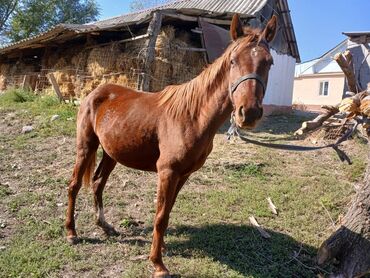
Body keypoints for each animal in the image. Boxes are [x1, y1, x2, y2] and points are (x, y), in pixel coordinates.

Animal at [66, 14, 276, 276]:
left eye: (269, 63)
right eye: (233, 61)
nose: (249, 113)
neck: (192, 116)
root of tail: (95, 92)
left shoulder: (183, 174)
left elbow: (167, 211)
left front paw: (162, 247)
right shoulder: (168, 172)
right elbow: (160, 216)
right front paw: (157, 263)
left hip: (111, 154)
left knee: (97, 184)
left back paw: (105, 226)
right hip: (85, 147)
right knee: (74, 185)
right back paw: (71, 232)